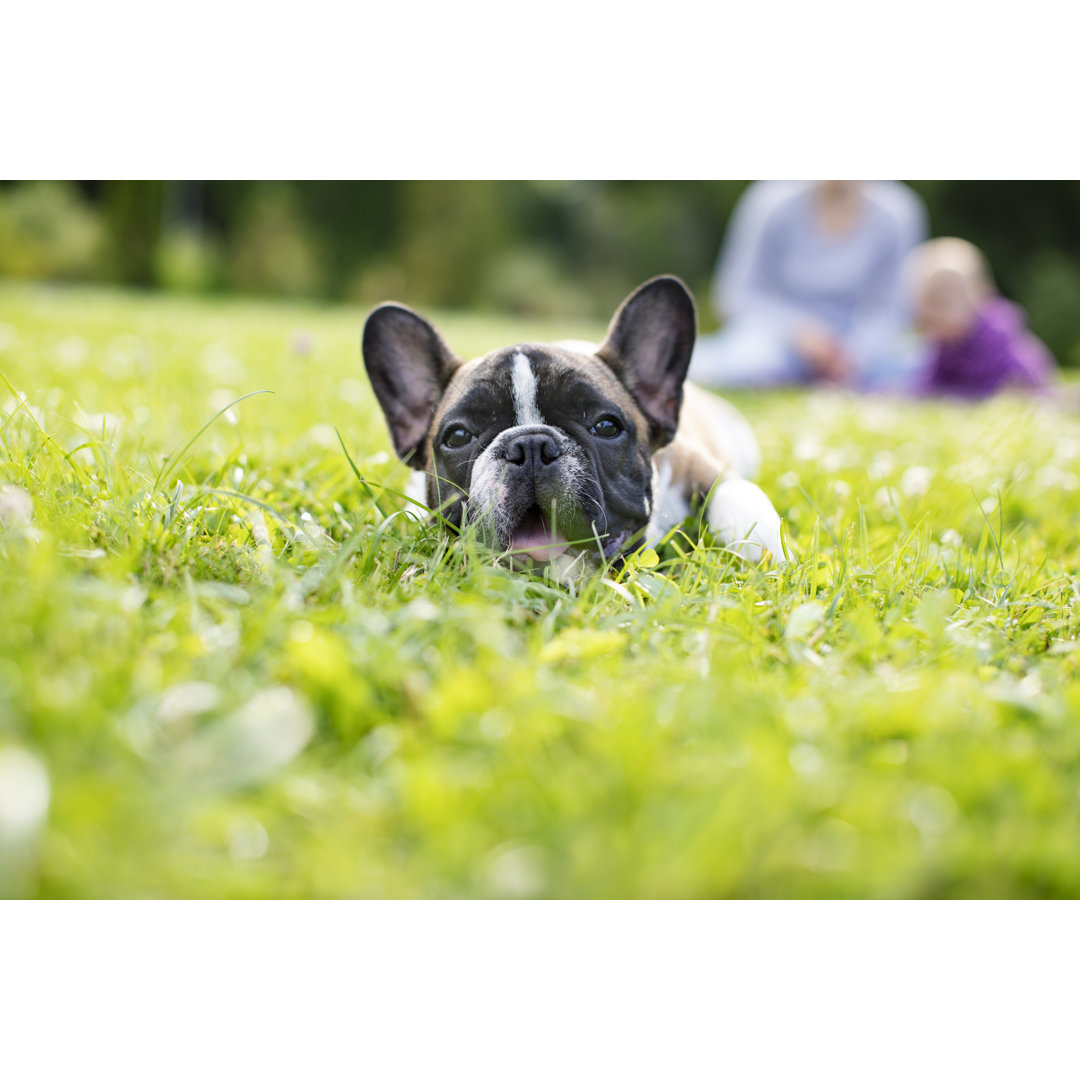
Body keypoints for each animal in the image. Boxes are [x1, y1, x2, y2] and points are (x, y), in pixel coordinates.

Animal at [362, 274, 786, 570]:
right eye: (458, 436)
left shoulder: (696, 465)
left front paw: (764, 551)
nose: (530, 445)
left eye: (606, 427)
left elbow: (736, 491)